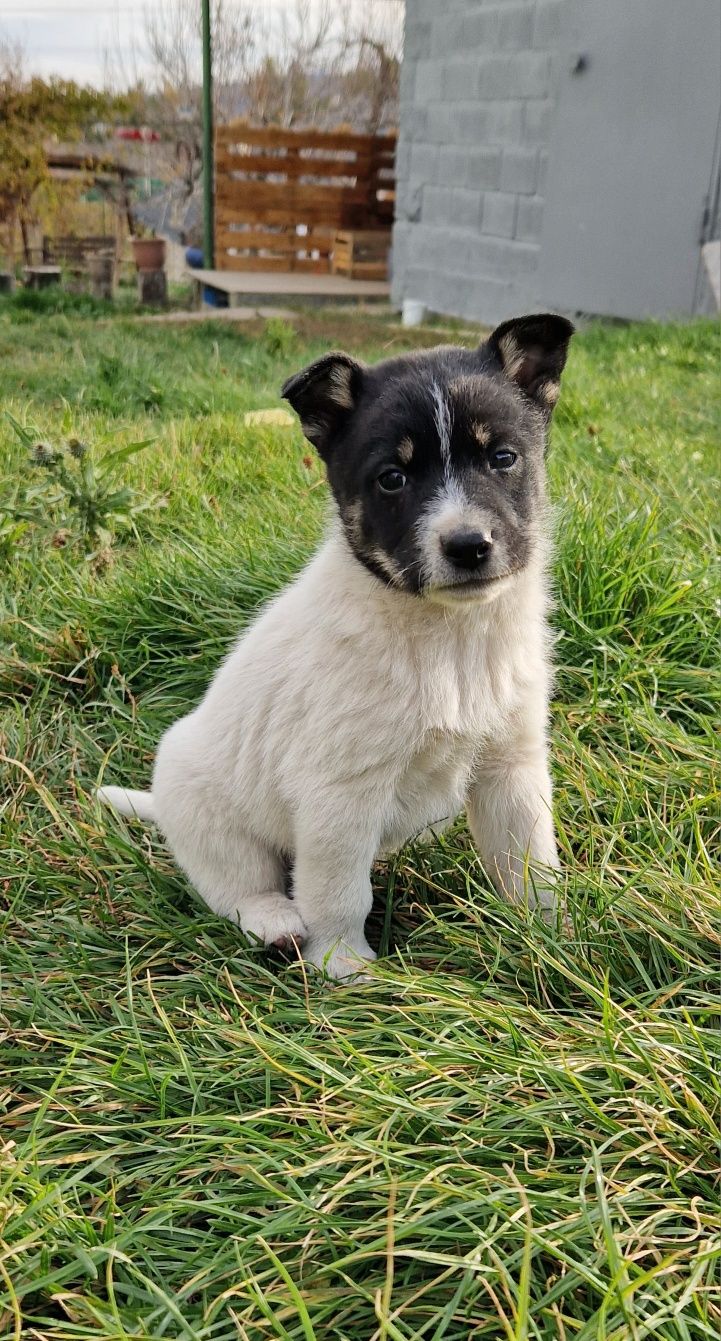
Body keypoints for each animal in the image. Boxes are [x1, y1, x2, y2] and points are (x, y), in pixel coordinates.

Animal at [99, 311, 573, 976]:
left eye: (503, 458)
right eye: (392, 479)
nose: (468, 546)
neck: (446, 635)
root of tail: (161, 803)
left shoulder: (511, 766)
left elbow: (532, 865)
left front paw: (551, 941)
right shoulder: (340, 793)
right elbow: (339, 890)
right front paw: (346, 967)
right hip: (212, 820)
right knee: (238, 886)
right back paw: (275, 924)